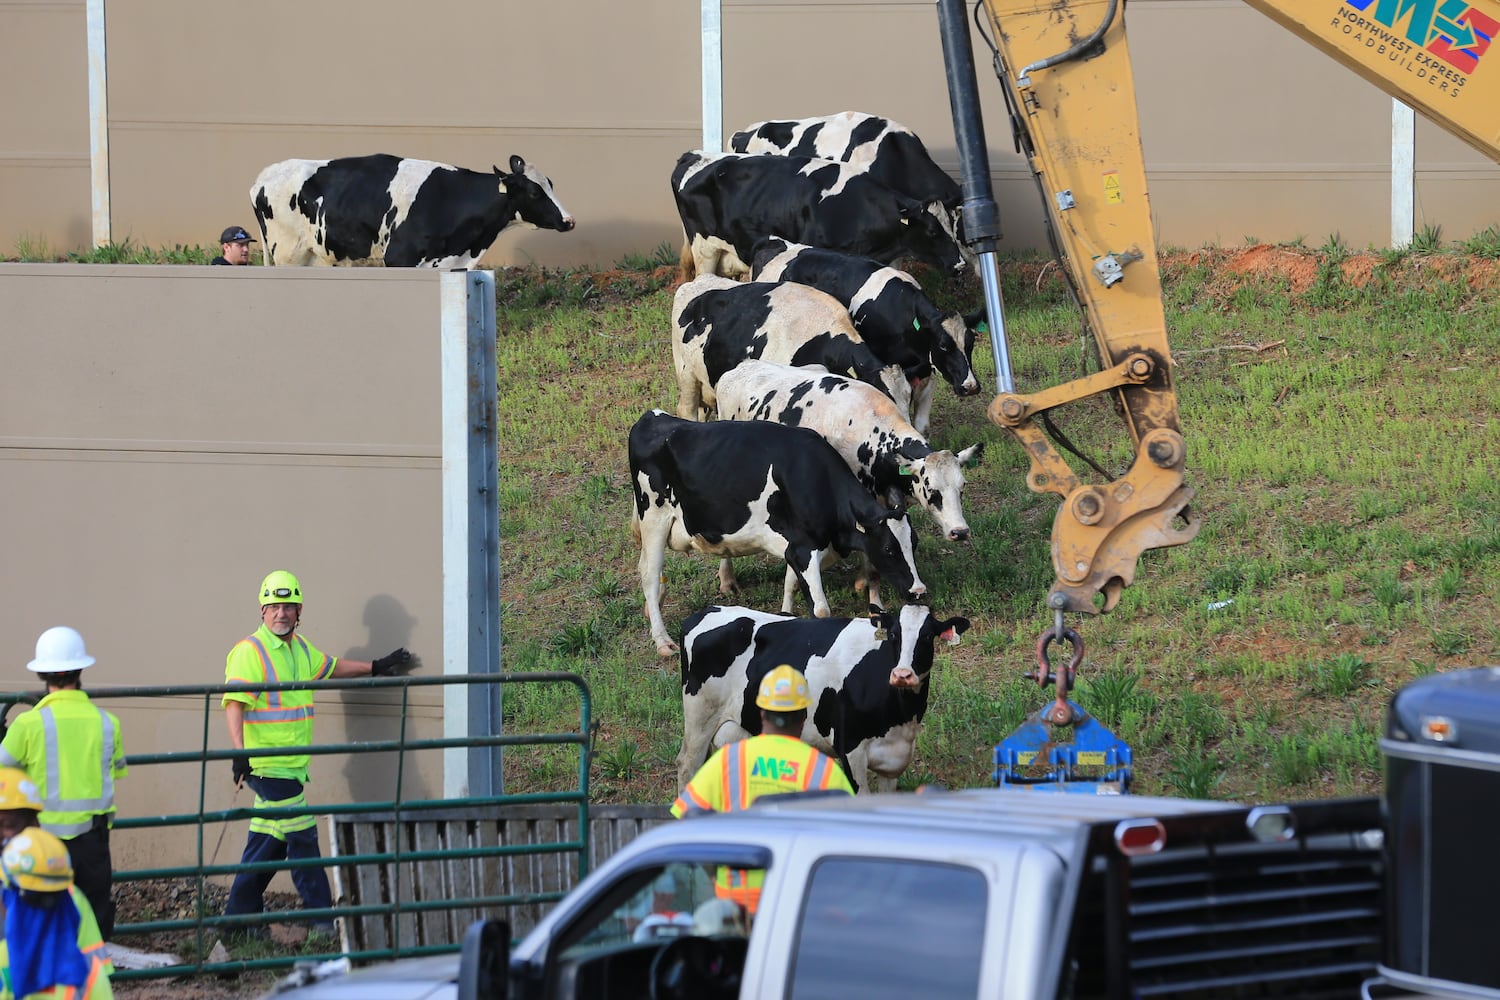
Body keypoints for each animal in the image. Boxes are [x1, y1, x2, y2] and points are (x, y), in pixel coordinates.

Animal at [246, 153, 573, 269]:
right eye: (534, 191)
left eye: (551, 184)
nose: (568, 221)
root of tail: (263, 176)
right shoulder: (399, 259)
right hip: (287, 255)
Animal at [681, 605, 972, 791]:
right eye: (893, 635)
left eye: (928, 636)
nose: (902, 674)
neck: (900, 716)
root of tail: (706, 611)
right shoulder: (850, 750)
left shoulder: (893, 760)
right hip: (699, 717)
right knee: (687, 766)